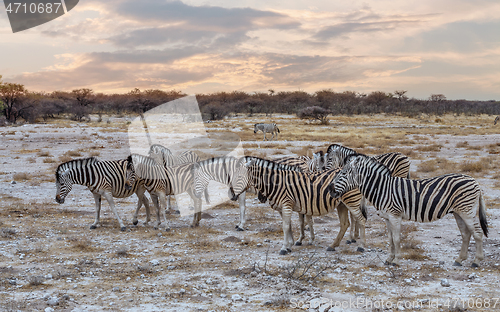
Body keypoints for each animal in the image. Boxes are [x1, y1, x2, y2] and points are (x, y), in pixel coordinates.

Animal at [231, 157, 368, 255]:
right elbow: (290, 225)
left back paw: (361, 246)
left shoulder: (286, 204)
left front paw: (284, 248)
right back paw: (333, 246)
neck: (276, 183)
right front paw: (290, 244)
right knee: (345, 223)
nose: (231, 194)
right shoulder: (283, 208)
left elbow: (286, 226)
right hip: (342, 204)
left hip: (351, 201)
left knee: (361, 220)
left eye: (239, 177)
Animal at [328, 154, 488, 266]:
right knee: (466, 234)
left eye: (343, 173)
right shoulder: (387, 218)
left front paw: (396, 261)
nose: (329, 189)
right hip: (458, 212)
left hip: (467, 211)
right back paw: (459, 259)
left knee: (477, 233)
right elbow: (390, 239)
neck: (382, 189)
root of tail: (475, 181)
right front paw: (389, 259)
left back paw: (476, 261)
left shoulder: (395, 215)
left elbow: (397, 239)